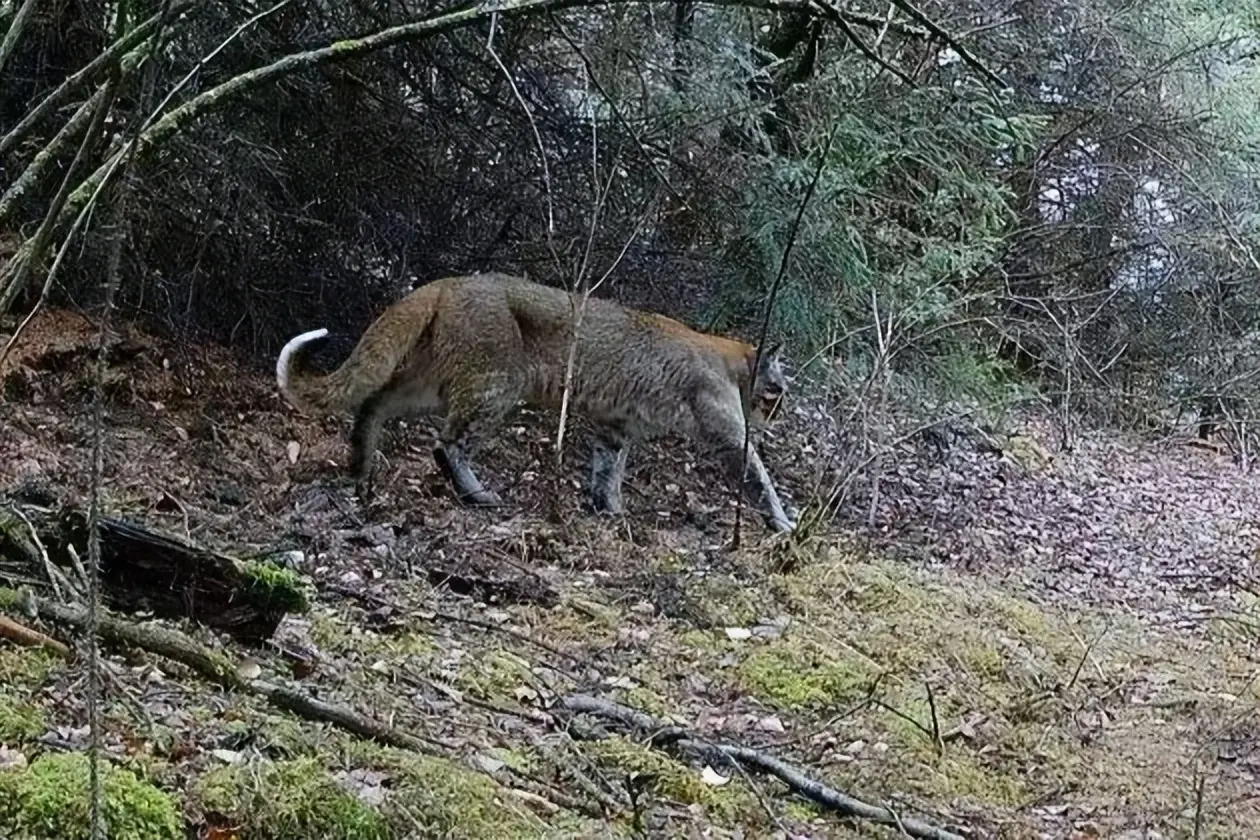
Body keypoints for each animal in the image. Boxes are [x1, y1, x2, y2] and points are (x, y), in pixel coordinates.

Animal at [275, 272, 796, 533]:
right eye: (777, 390)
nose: (779, 412)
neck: (730, 359)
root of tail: (453, 280)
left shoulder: (615, 424)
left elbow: (609, 467)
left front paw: (609, 508)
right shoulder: (727, 433)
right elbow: (758, 475)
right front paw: (783, 522)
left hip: (430, 381)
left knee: (374, 403)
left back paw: (361, 470)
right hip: (496, 383)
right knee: (447, 442)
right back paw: (477, 494)